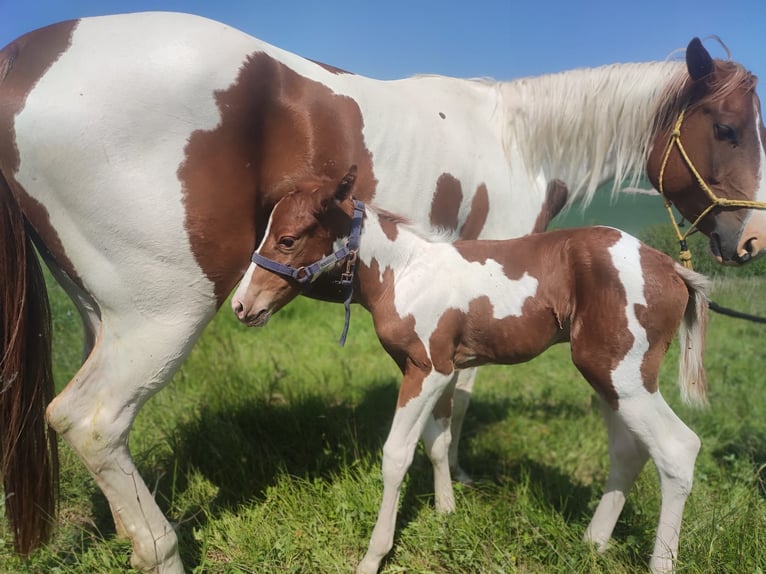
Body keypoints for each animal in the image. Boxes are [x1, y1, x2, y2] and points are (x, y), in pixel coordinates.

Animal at [232, 166, 710, 574]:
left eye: (288, 240)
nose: (241, 305)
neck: (405, 273)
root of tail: (672, 268)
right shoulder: (442, 370)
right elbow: (438, 440)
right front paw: (446, 510)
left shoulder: (427, 370)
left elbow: (396, 455)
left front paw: (373, 555)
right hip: (607, 378)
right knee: (629, 451)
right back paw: (593, 542)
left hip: (623, 377)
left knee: (678, 448)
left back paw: (658, 560)